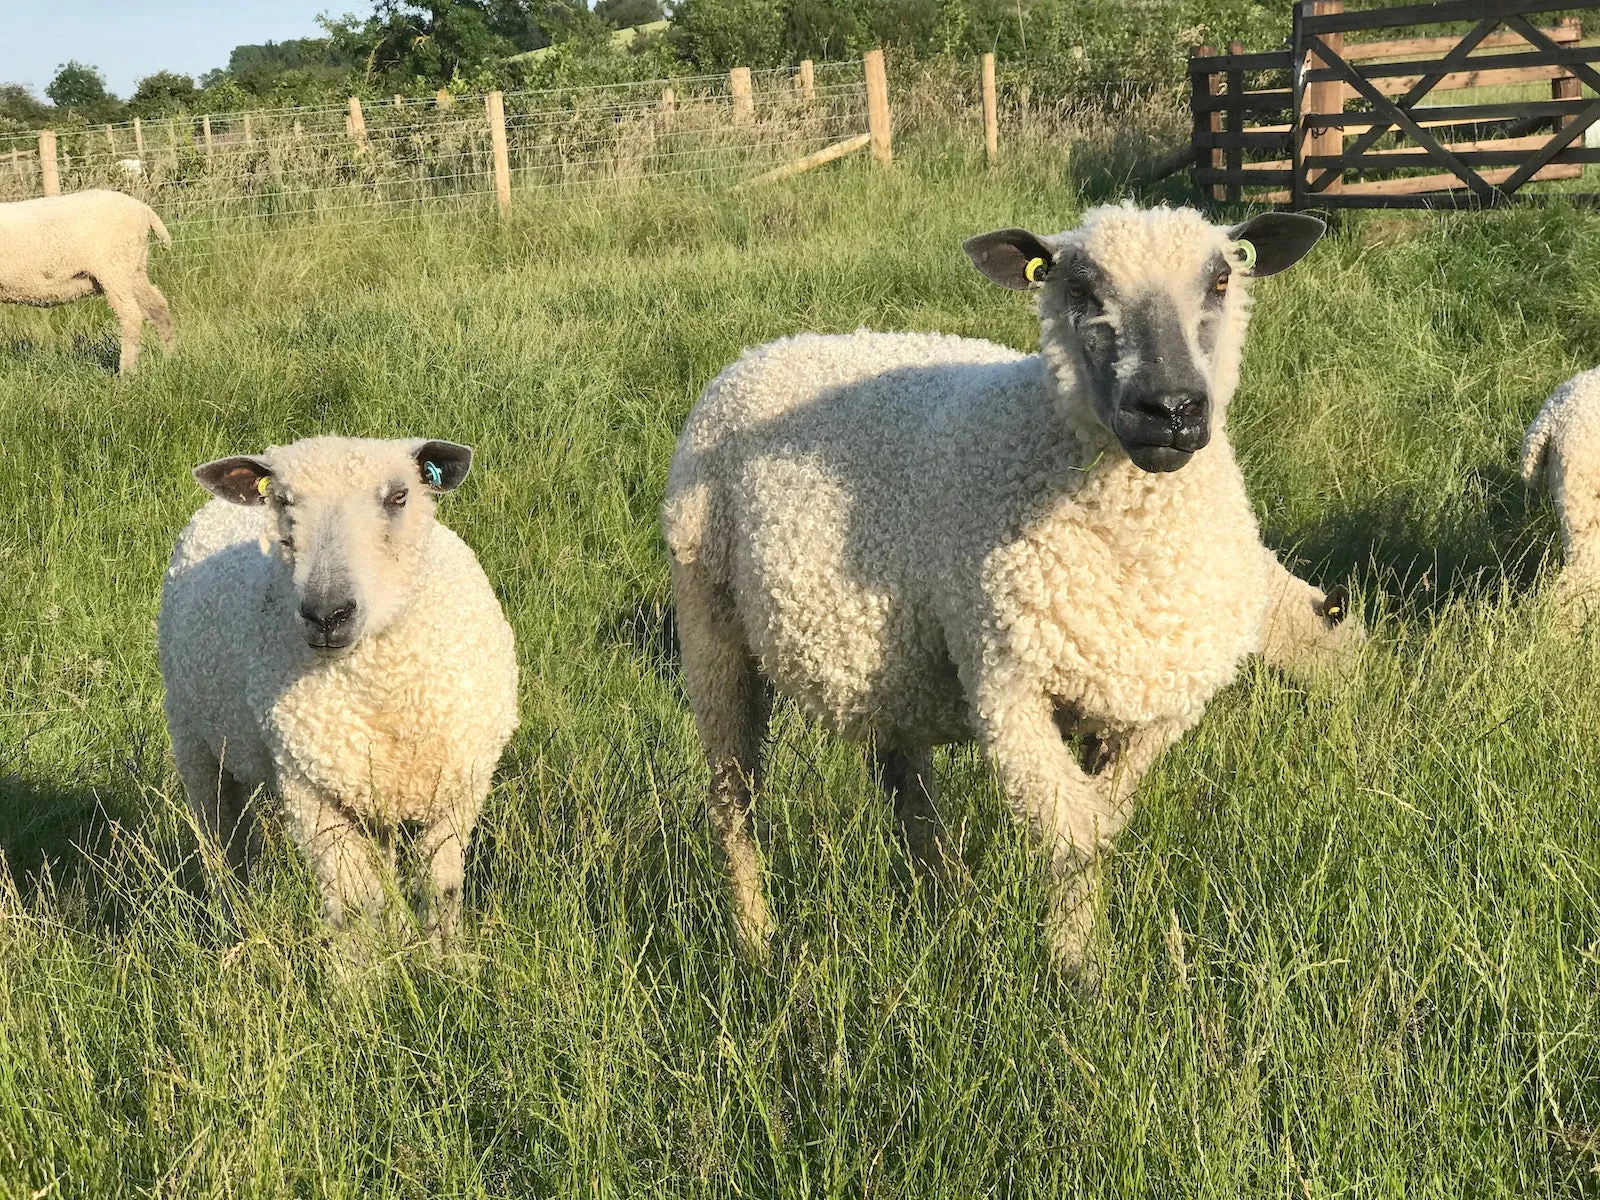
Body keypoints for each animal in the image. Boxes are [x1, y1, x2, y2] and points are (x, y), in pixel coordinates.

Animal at [0, 188, 176, 374]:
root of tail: (143, 210)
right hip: (134, 269)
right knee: (157, 307)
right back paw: (169, 358)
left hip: (114, 268)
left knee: (131, 315)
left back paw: (126, 371)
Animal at [158, 438, 518, 947]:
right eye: (282, 500)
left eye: (399, 497)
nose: (326, 614)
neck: (388, 686)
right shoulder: (312, 794)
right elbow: (352, 908)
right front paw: (364, 969)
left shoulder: (460, 789)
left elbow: (440, 893)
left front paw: (442, 957)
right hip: (196, 739)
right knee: (223, 842)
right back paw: (235, 929)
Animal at [662, 204, 1363, 979]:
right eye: (1078, 289)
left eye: (1221, 279)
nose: (1171, 408)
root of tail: (766, 349)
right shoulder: (1010, 687)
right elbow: (1070, 836)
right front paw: (1081, 973)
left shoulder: (1151, 707)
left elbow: (1101, 822)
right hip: (710, 625)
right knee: (734, 796)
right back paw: (756, 938)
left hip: (890, 664)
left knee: (907, 789)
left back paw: (944, 909)